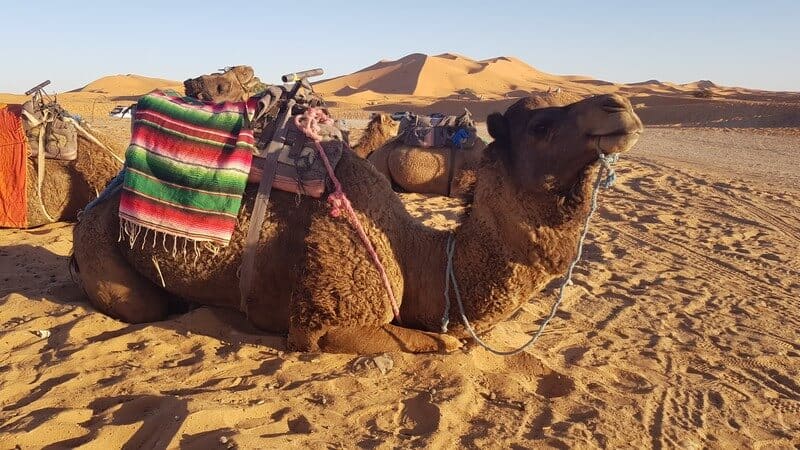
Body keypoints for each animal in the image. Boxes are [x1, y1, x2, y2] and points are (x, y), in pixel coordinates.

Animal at [71, 93, 642, 354]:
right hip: (101, 244)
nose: (619, 106)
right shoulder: (326, 320)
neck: (421, 260)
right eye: (541, 125)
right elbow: (438, 343)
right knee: (142, 305)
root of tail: (103, 195)